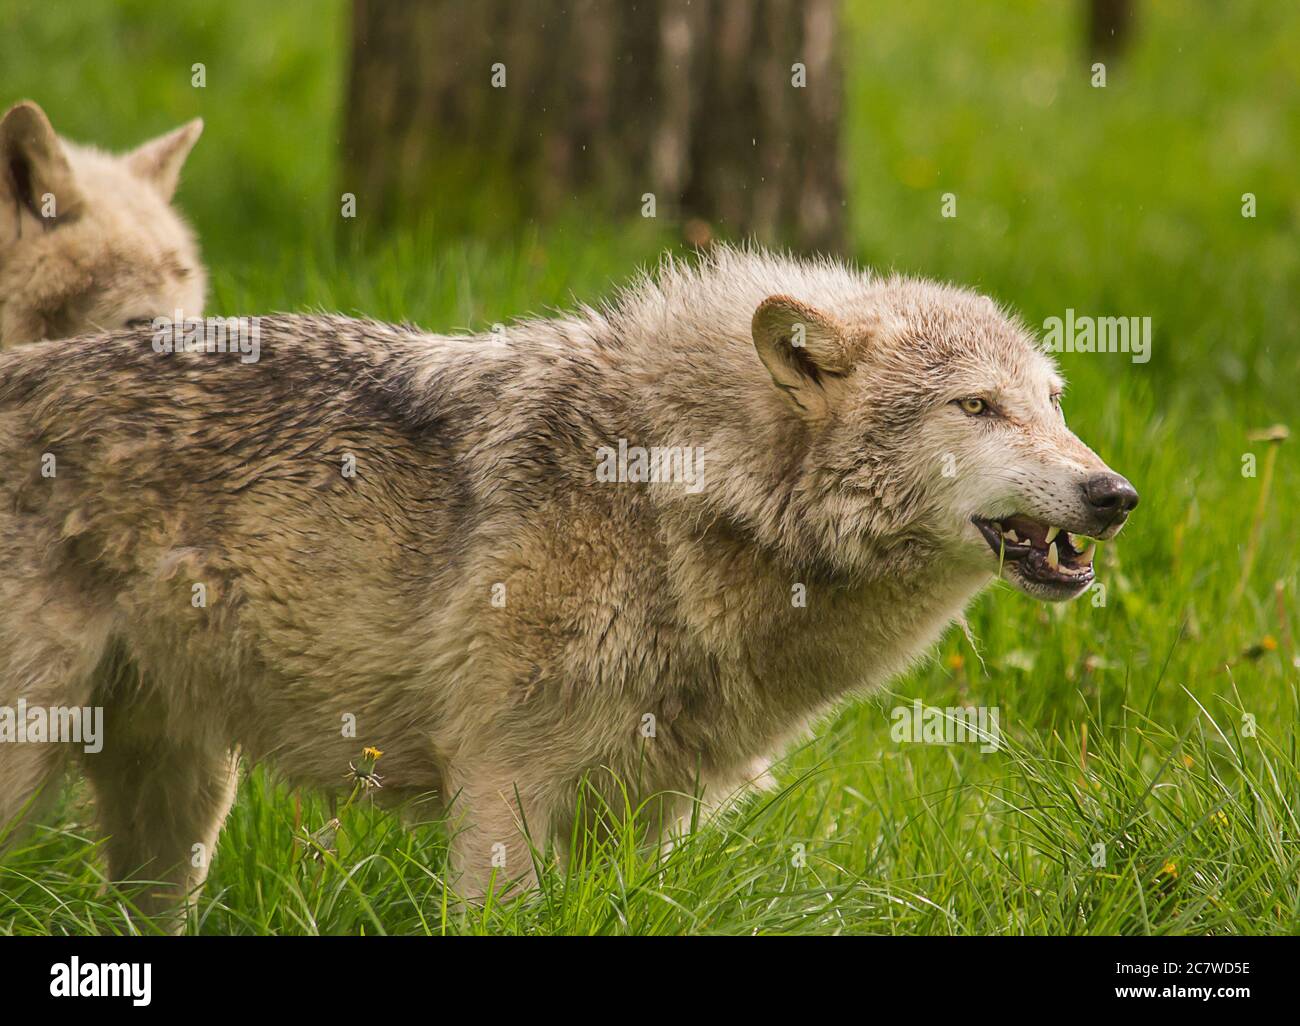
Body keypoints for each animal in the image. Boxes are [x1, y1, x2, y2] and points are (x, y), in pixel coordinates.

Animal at [0, 245, 1138, 910]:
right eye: (976, 407)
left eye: (1051, 401)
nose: (1113, 493)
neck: (676, 490)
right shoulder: (503, 791)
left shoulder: (647, 817)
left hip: (181, 806)